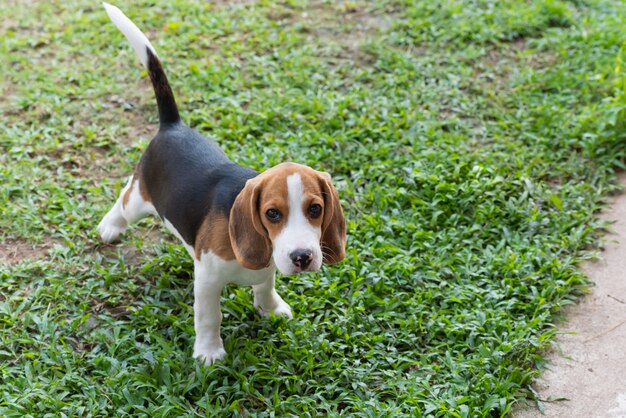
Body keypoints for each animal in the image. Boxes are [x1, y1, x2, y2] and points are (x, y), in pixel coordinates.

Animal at [96, 2, 346, 362]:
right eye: (272, 214)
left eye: (315, 209)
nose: (302, 257)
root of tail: (173, 126)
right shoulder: (207, 279)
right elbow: (209, 316)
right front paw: (209, 353)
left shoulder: (267, 268)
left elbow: (265, 285)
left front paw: (270, 309)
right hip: (140, 198)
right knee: (124, 199)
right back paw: (110, 226)